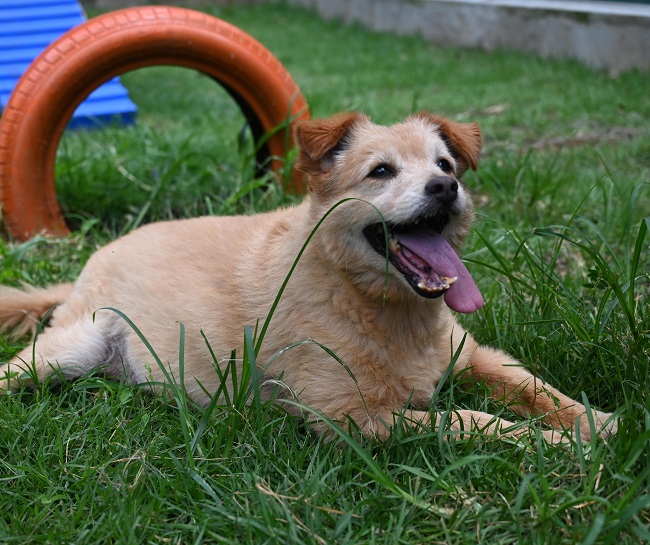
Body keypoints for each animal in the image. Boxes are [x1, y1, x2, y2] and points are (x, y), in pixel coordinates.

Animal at [0, 111, 616, 442]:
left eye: (445, 165)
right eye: (381, 171)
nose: (447, 187)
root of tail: (101, 254)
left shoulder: (474, 356)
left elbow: (535, 388)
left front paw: (599, 423)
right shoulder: (358, 420)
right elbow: (477, 421)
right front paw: (558, 445)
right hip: (69, 349)